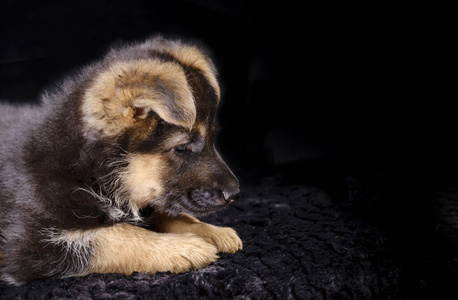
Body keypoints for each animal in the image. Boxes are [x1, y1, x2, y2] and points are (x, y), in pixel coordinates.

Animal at [0, 36, 243, 284]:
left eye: (212, 138)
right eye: (183, 147)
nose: (235, 194)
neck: (85, 168)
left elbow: (169, 215)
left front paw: (212, 231)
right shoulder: (31, 245)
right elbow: (115, 234)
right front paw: (183, 247)